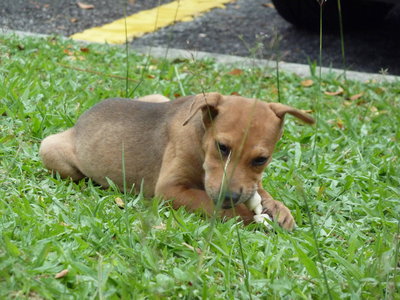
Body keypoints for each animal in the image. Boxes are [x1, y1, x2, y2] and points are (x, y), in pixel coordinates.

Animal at [41, 92, 316, 231]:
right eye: (222, 147)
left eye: (261, 159)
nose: (229, 196)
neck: (200, 138)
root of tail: (81, 119)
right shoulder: (171, 190)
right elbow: (215, 205)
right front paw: (249, 215)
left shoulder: (251, 183)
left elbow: (262, 192)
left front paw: (281, 210)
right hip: (50, 149)